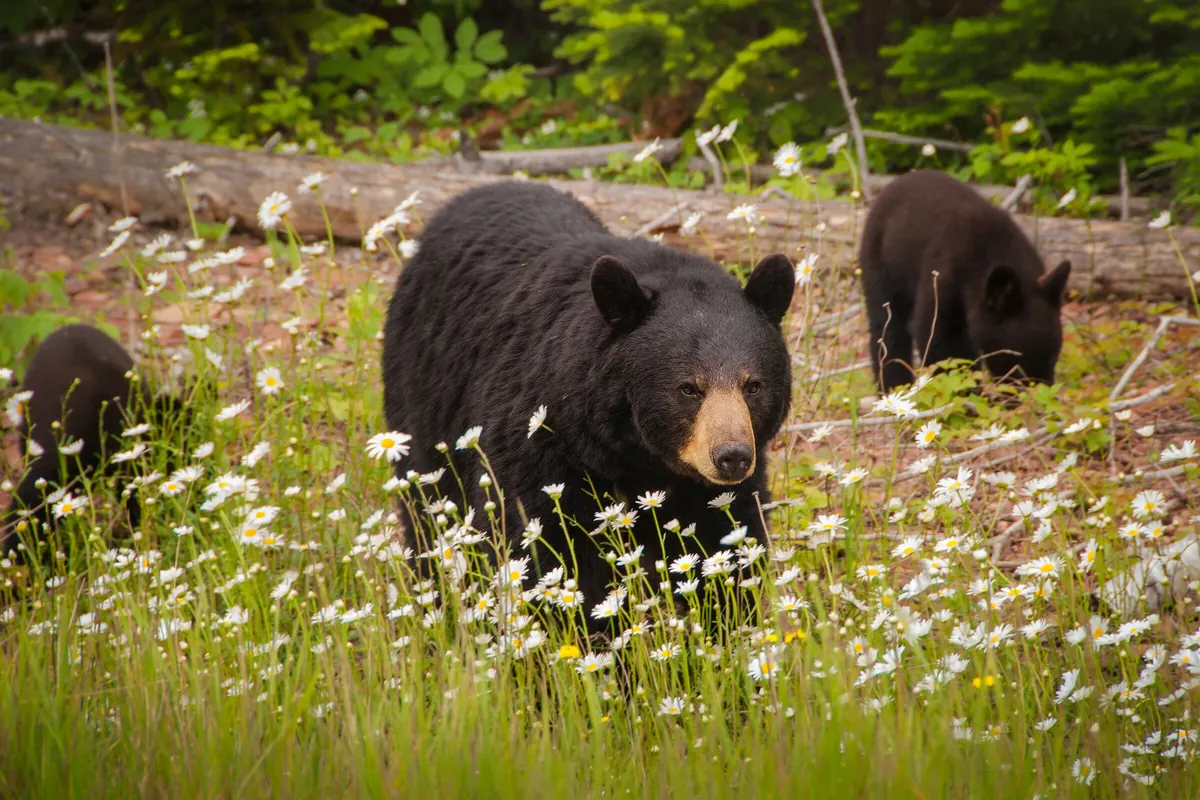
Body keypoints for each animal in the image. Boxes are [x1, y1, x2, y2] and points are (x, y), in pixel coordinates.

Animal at [382, 181, 795, 629]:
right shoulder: (536, 446)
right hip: (424, 395)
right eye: (689, 388)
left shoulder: (714, 490)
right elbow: (539, 550)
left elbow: (726, 544)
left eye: (752, 386)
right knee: (426, 510)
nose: (732, 456)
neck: (634, 457)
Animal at [858, 170, 1071, 393]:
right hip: (880, 264)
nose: (1040, 393)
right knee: (887, 327)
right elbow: (938, 338)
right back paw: (892, 386)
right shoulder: (944, 275)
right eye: (1018, 364)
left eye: (1052, 357)